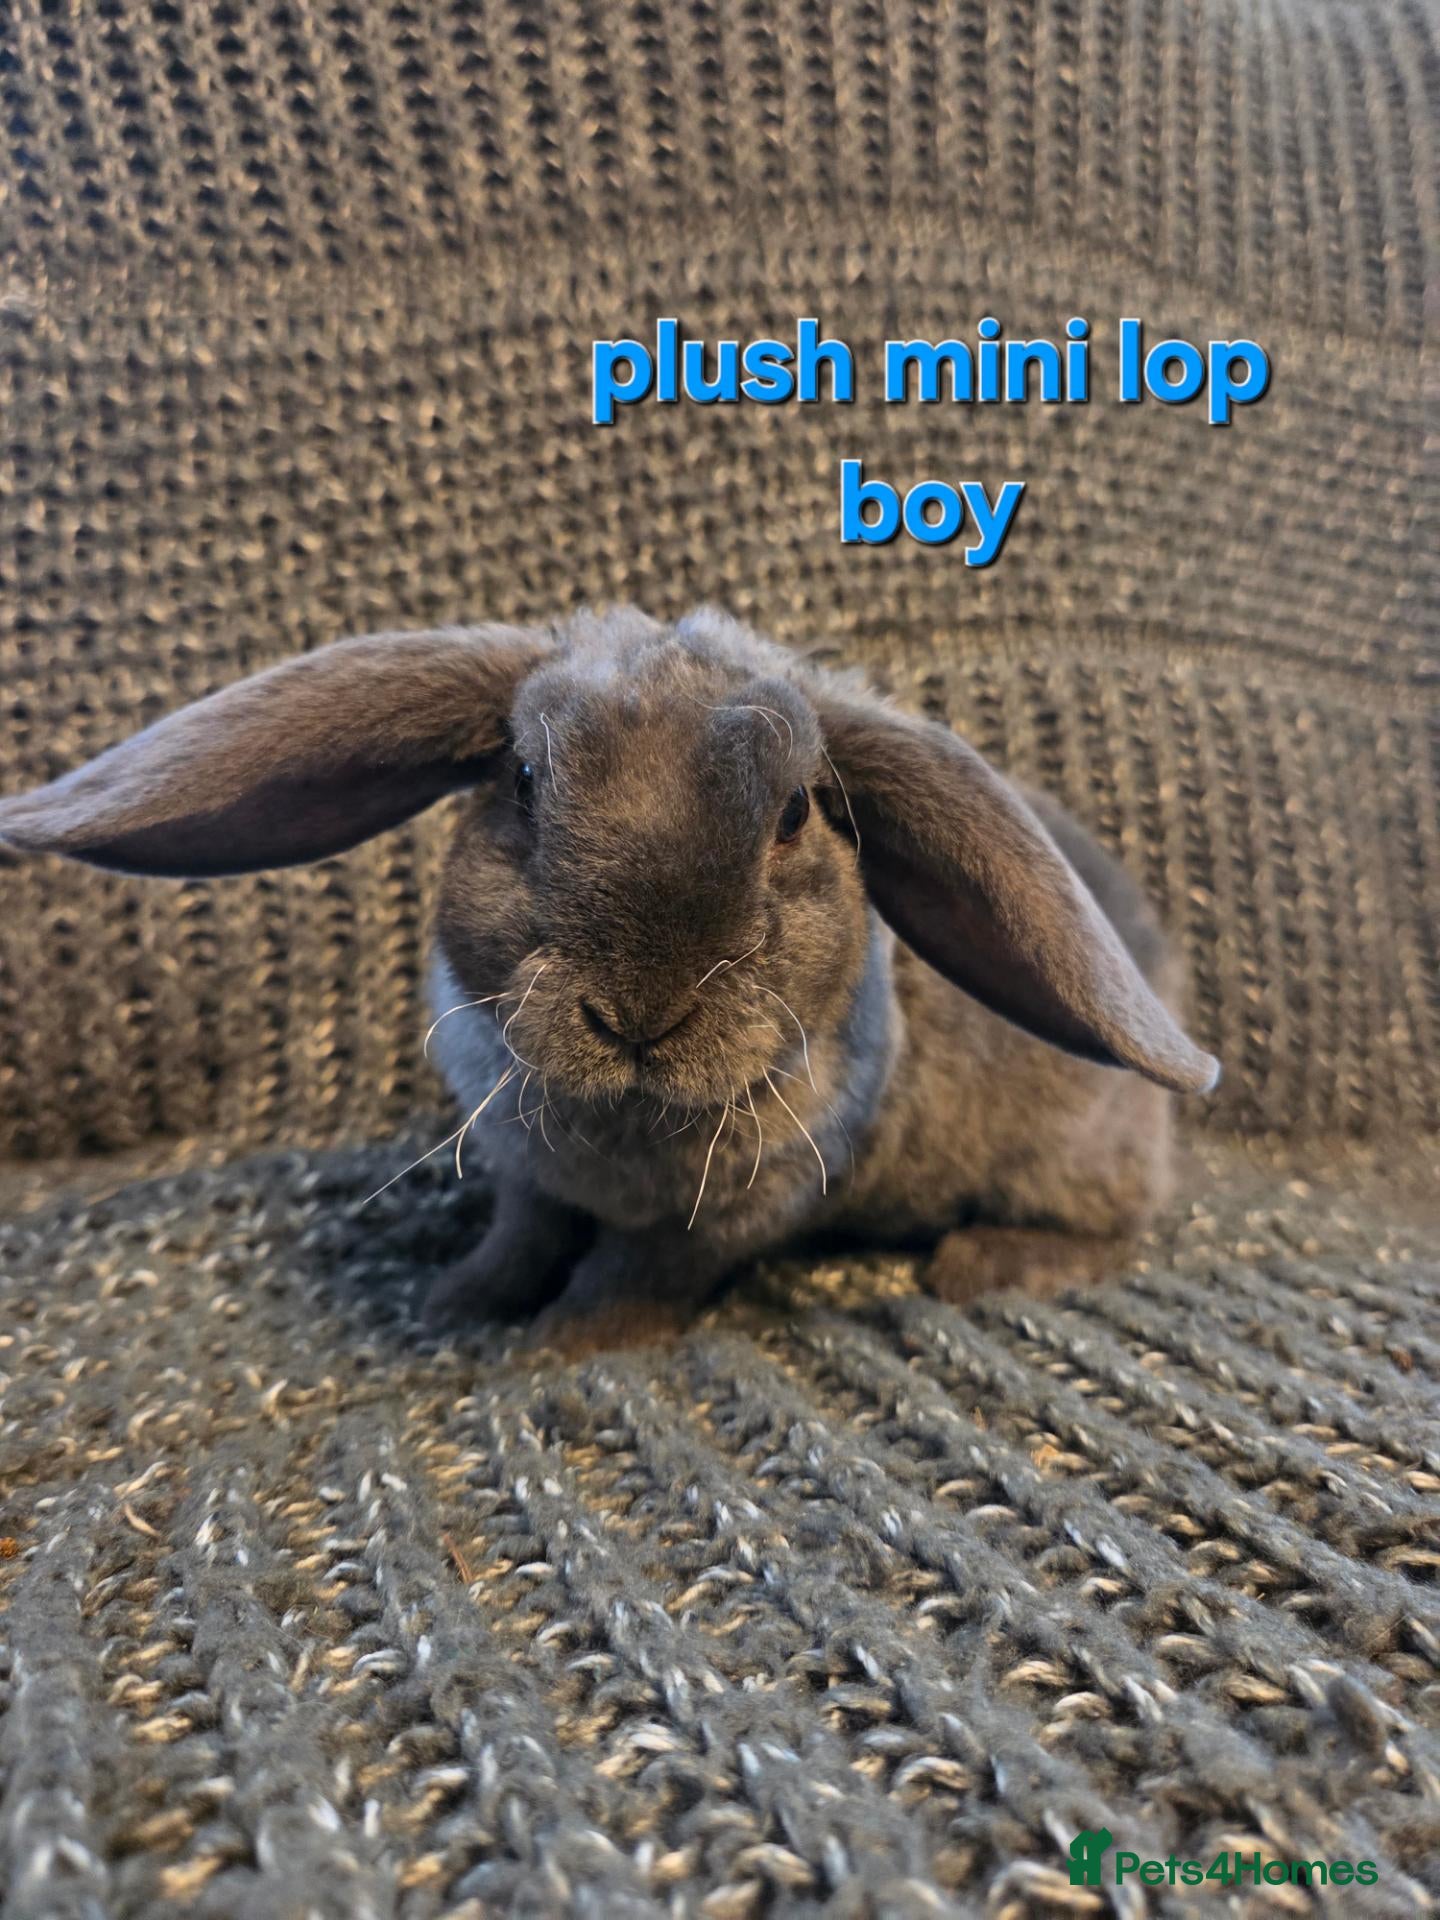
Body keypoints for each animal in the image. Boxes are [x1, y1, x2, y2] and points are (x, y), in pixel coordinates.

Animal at [0, 606, 1218, 1354]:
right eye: (524, 782)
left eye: (792, 815)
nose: (640, 1015)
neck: (621, 1119)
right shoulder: (523, 1174)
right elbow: (520, 1237)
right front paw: (459, 1301)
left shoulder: (727, 1215)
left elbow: (630, 1275)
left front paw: (558, 1346)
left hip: (1078, 1156)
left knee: (1121, 1226)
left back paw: (979, 1264)